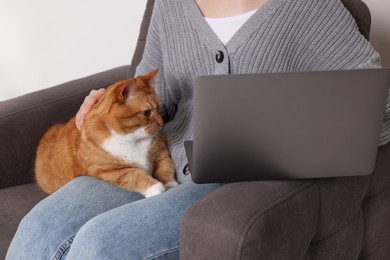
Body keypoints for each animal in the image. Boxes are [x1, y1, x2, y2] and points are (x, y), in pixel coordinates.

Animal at [35, 70, 178, 196]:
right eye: (147, 113)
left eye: (159, 108)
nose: (162, 122)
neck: (132, 139)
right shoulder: (108, 171)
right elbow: (133, 174)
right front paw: (154, 186)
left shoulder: (161, 150)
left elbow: (165, 168)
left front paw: (170, 184)